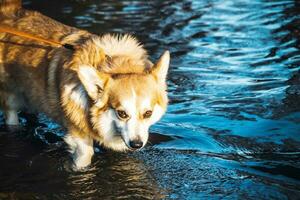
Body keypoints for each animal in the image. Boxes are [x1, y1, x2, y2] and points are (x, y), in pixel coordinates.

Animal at [0, 0, 169, 169]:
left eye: (148, 113)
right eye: (122, 113)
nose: (136, 144)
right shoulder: (78, 137)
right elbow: (85, 156)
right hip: (10, 98)